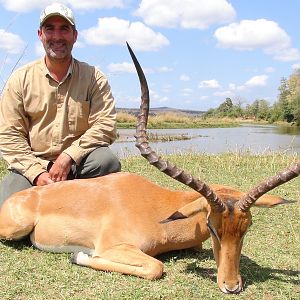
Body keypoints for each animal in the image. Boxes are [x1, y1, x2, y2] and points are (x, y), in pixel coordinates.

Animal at [0, 43, 300, 294]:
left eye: (246, 227)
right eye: (212, 227)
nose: (232, 285)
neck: (158, 207)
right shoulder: (113, 247)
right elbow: (156, 267)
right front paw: (79, 255)